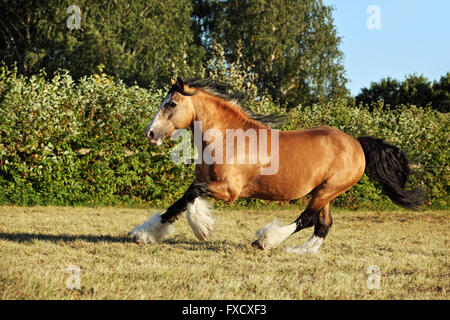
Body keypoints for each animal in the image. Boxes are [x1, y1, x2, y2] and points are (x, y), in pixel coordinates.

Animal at [128, 77, 424, 252]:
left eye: (171, 104)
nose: (150, 133)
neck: (227, 138)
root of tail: (357, 144)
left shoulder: (229, 190)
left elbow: (192, 197)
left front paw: (202, 228)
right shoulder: (205, 181)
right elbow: (178, 203)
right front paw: (143, 235)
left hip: (328, 190)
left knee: (307, 219)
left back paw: (265, 241)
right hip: (326, 192)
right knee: (323, 223)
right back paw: (301, 251)